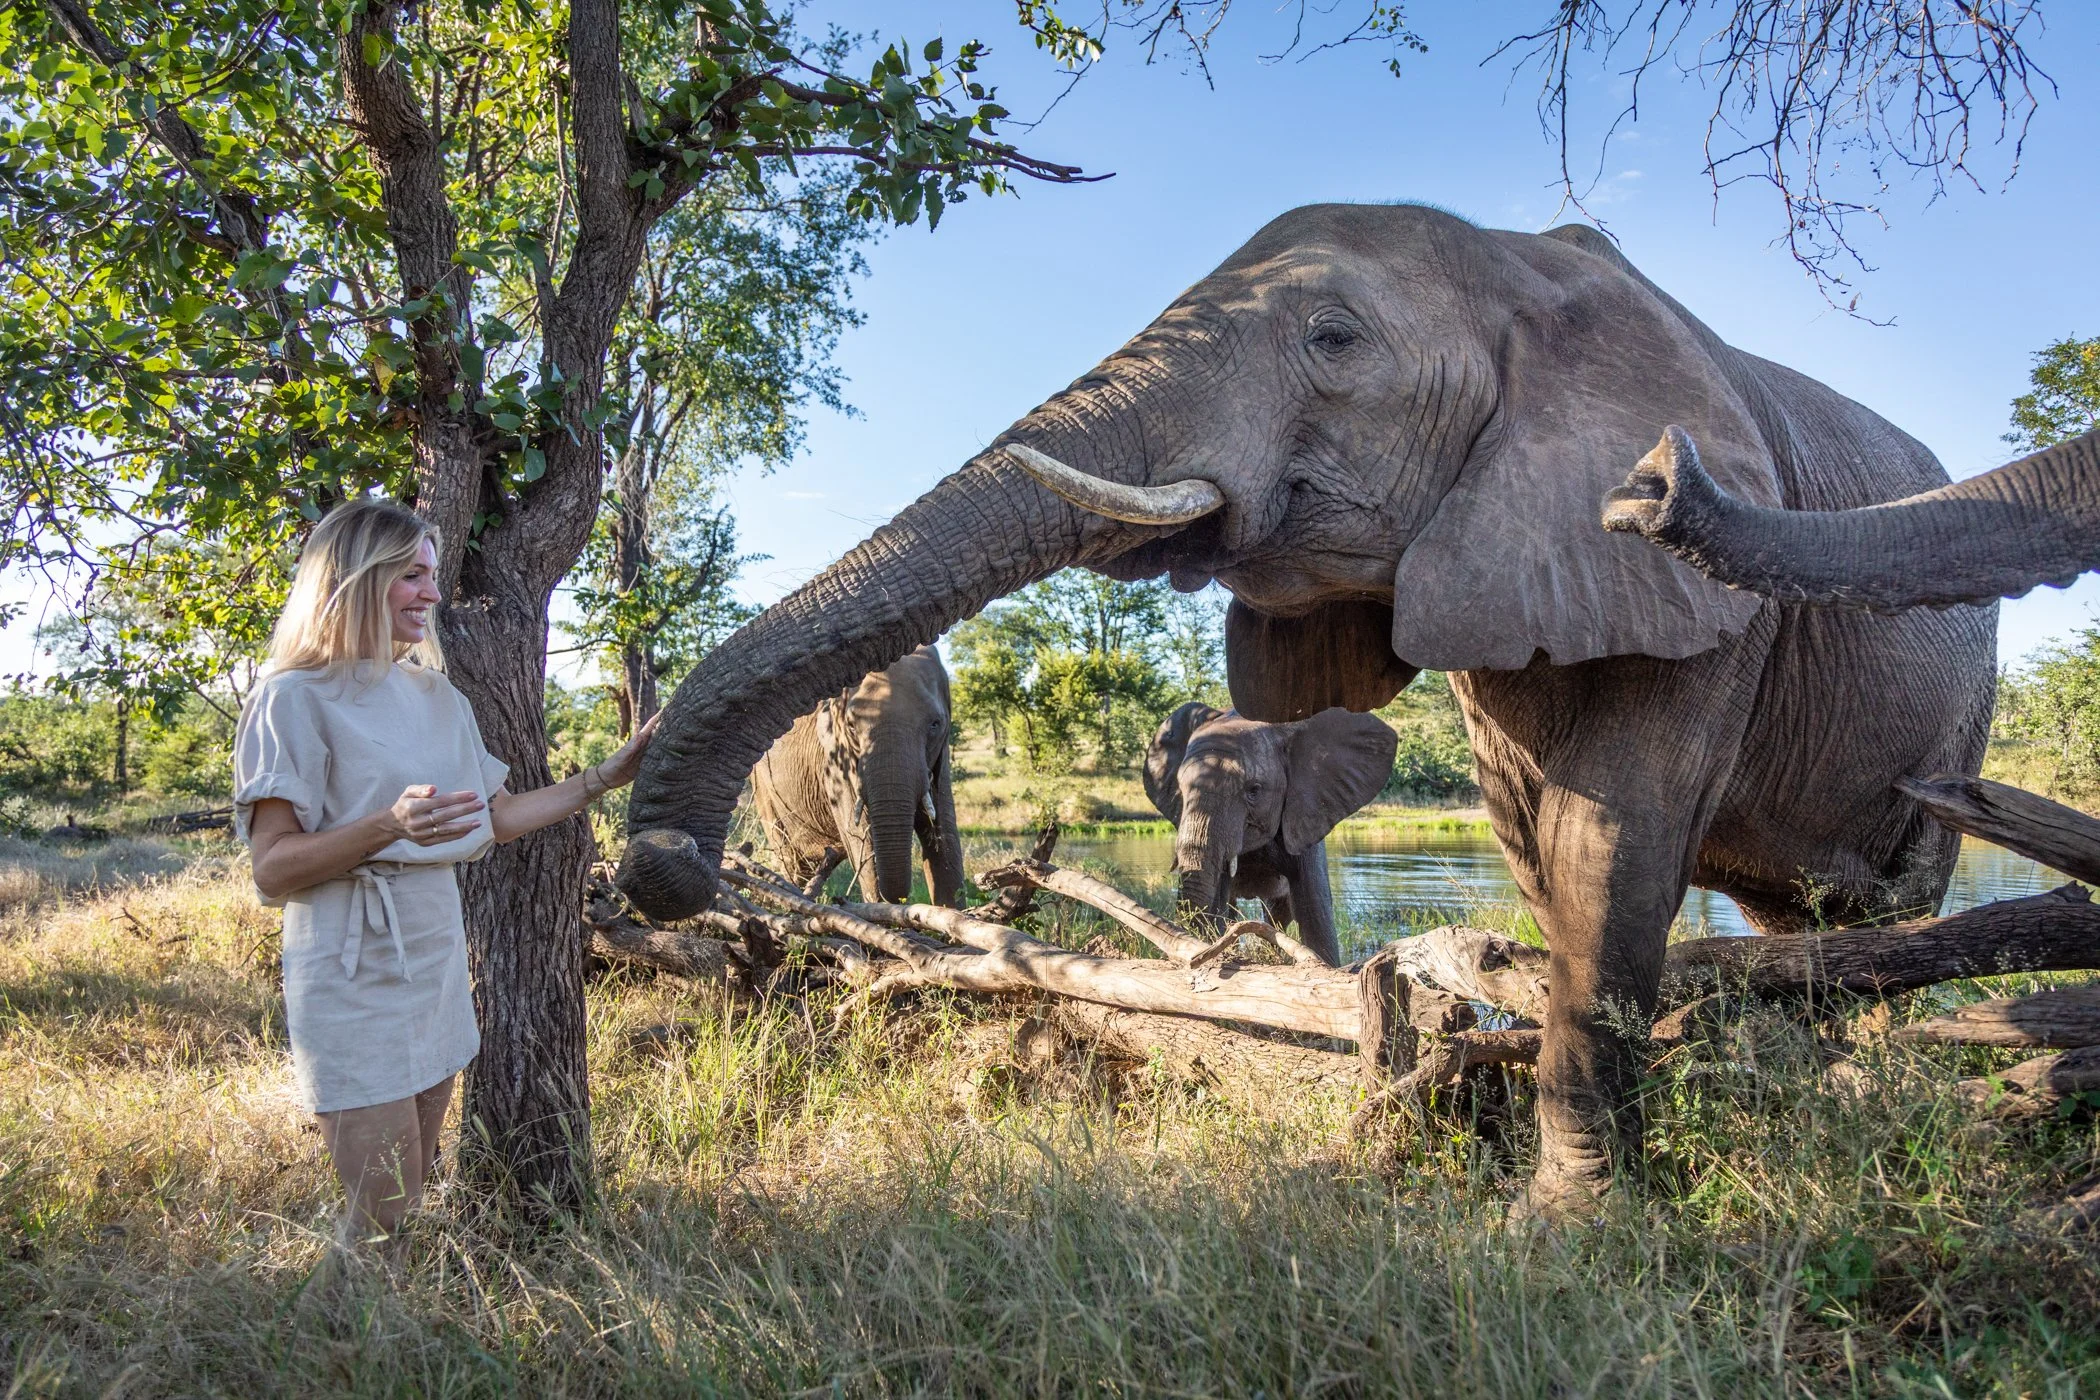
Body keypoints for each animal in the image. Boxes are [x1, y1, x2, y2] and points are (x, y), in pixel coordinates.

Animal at [748, 646, 965, 906]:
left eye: (935, 724)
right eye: (851, 726)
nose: (901, 900)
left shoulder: (940, 758)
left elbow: (946, 836)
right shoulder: (835, 763)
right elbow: (863, 839)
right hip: (762, 785)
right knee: (789, 856)